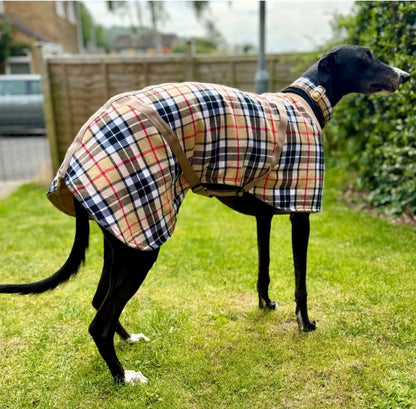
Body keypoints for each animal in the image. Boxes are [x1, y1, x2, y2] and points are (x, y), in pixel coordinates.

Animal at [0, 45, 410, 382]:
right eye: (366, 57)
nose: (405, 75)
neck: (306, 102)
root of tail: (76, 150)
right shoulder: (300, 213)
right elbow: (301, 281)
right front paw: (304, 323)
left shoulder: (264, 217)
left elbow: (263, 268)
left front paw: (265, 305)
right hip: (143, 240)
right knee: (98, 321)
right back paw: (123, 376)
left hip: (123, 233)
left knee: (100, 301)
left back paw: (129, 339)